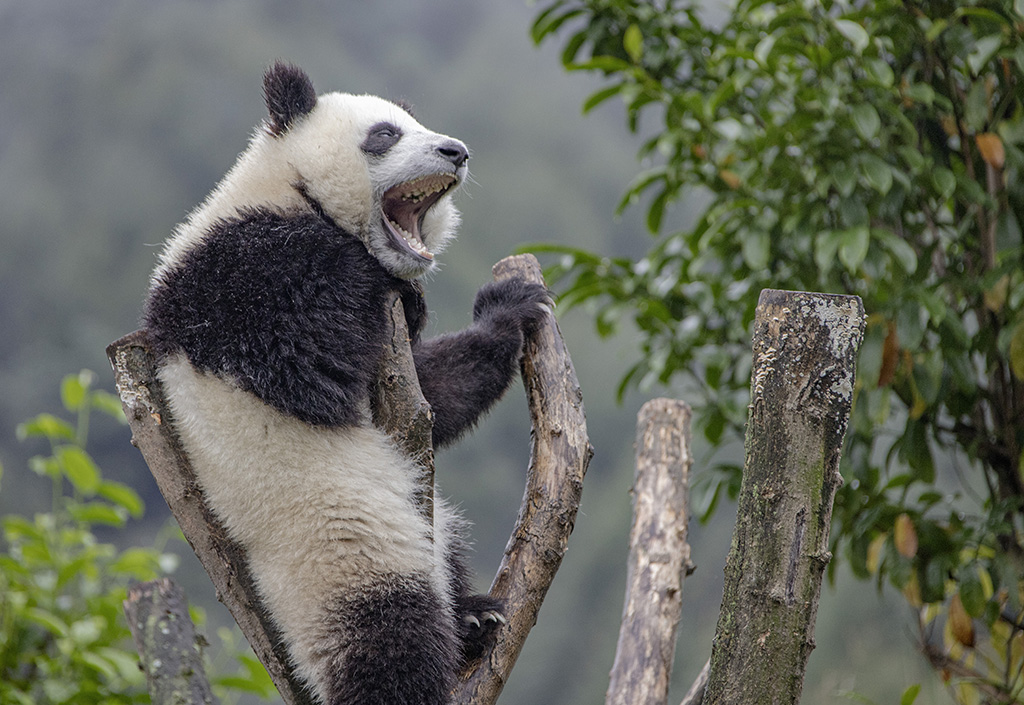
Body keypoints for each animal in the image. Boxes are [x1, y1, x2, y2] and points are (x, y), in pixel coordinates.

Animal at [144, 61, 552, 705]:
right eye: (385, 134)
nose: (456, 150)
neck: (289, 189)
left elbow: (433, 396)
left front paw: (507, 309)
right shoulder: (230, 273)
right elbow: (298, 354)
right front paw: (382, 281)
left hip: (429, 526)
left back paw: (474, 618)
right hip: (334, 546)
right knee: (386, 634)